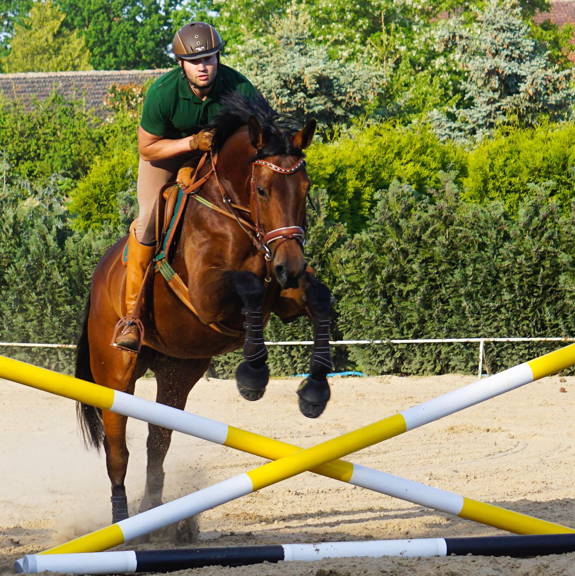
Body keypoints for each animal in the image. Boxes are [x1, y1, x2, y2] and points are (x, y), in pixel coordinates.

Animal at [73, 93, 332, 528]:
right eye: (262, 189)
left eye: (306, 188)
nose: (291, 267)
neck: (236, 216)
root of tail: (98, 280)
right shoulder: (207, 297)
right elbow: (249, 290)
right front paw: (253, 376)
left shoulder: (284, 294)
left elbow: (319, 299)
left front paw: (314, 393)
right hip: (115, 374)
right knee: (117, 448)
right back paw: (123, 518)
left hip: (177, 371)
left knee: (158, 441)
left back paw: (158, 516)